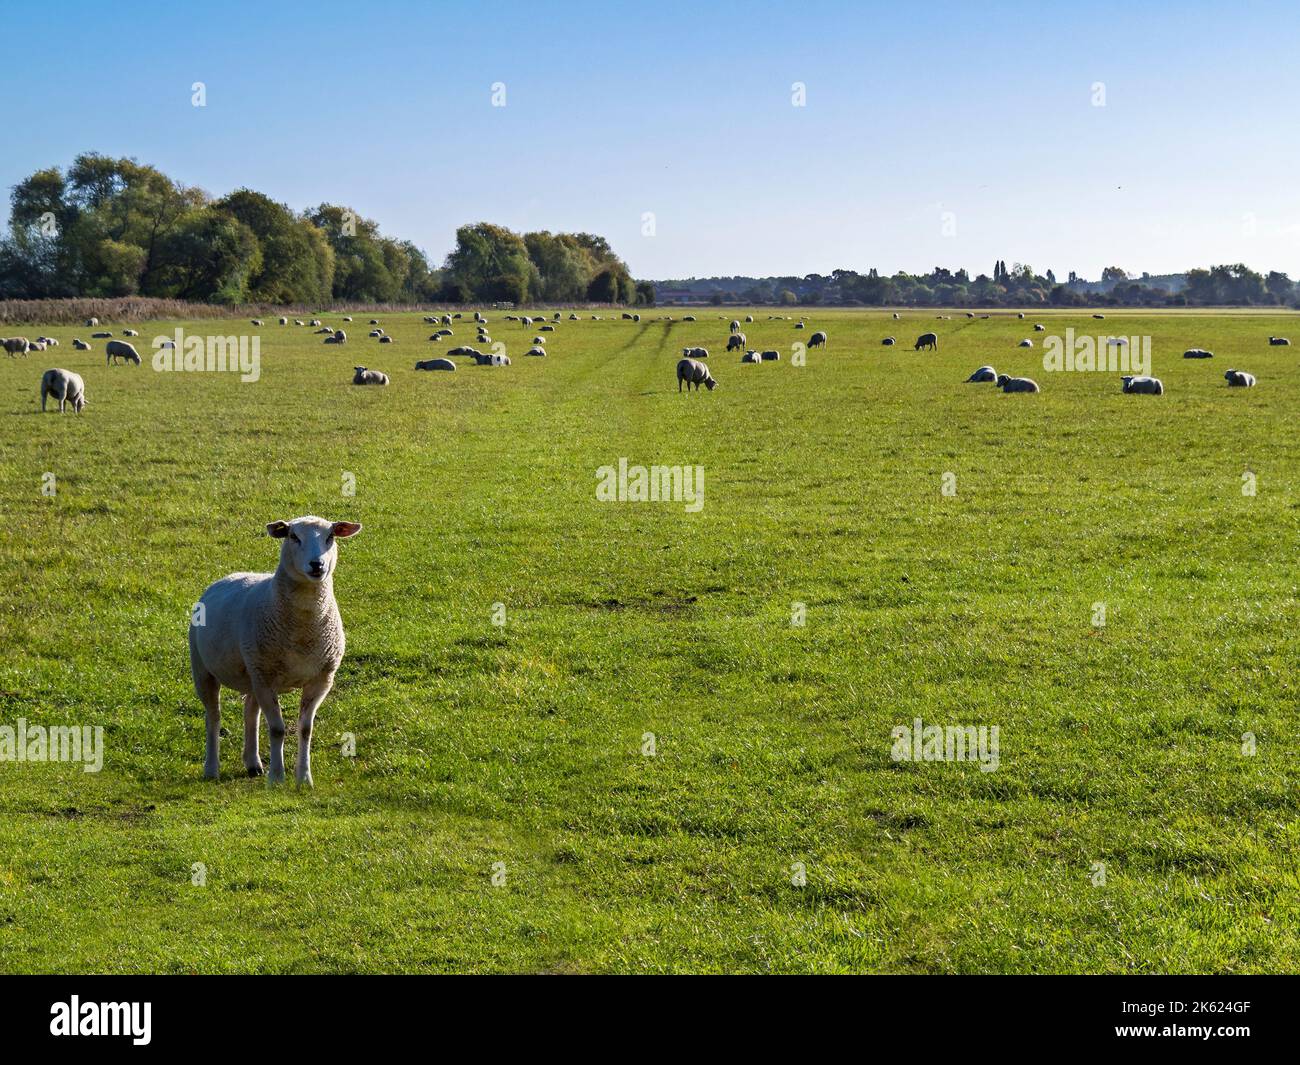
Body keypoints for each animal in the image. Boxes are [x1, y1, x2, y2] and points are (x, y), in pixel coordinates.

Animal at [189, 515, 362, 784]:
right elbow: (278, 729)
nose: (317, 565)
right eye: (293, 537)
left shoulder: (321, 679)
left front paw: (304, 778)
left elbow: (305, 728)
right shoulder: (265, 677)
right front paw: (277, 778)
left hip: (252, 673)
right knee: (213, 717)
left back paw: (253, 763)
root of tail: (227, 577)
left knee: (250, 711)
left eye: (330, 537)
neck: (303, 630)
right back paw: (211, 769)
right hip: (204, 669)